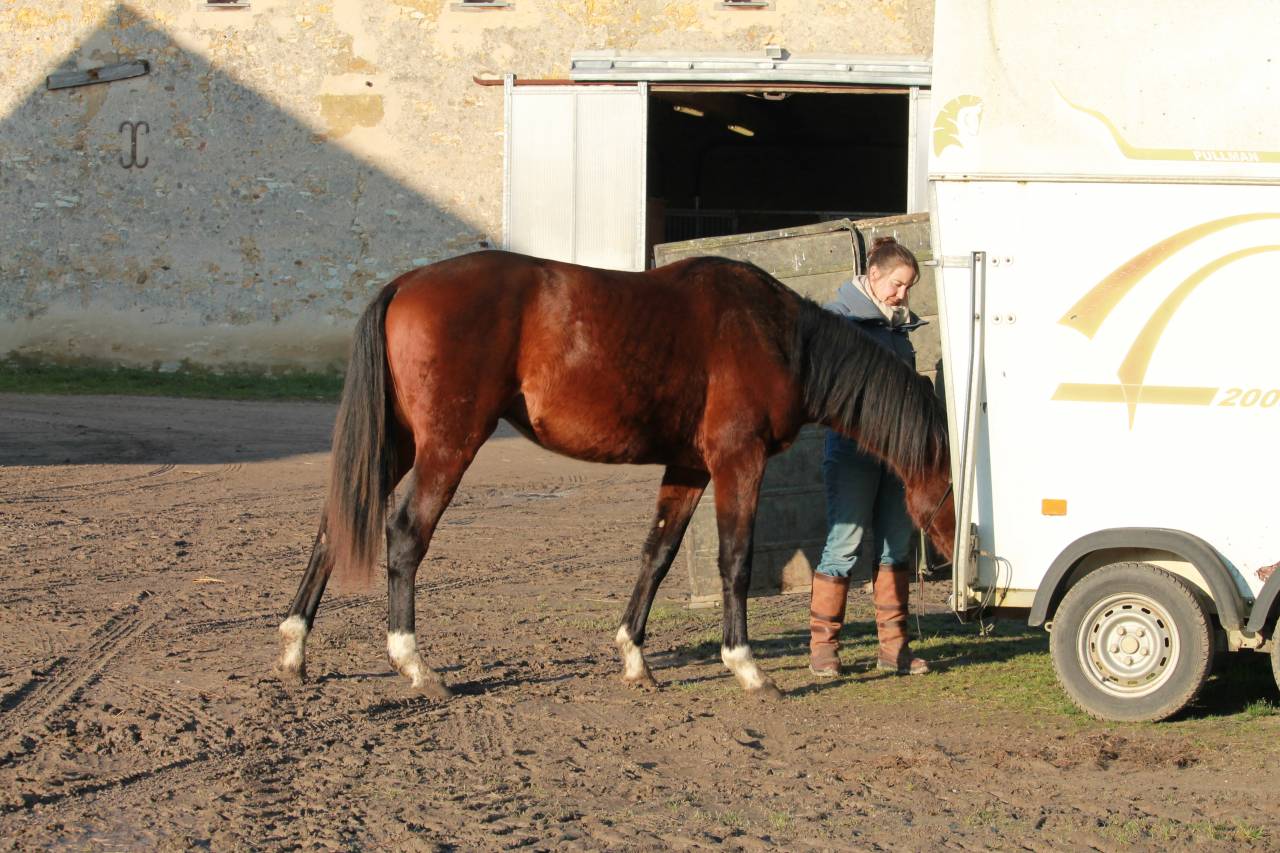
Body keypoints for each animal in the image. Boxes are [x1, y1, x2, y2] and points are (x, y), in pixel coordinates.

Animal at [275, 250, 955, 700]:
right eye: (954, 478)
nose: (953, 554)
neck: (777, 335)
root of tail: (404, 282)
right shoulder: (738, 460)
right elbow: (734, 560)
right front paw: (746, 666)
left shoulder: (688, 467)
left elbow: (657, 554)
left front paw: (634, 656)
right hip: (445, 445)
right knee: (405, 534)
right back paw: (414, 664)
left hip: (396, 442)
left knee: (333, 526)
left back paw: (294, 648)